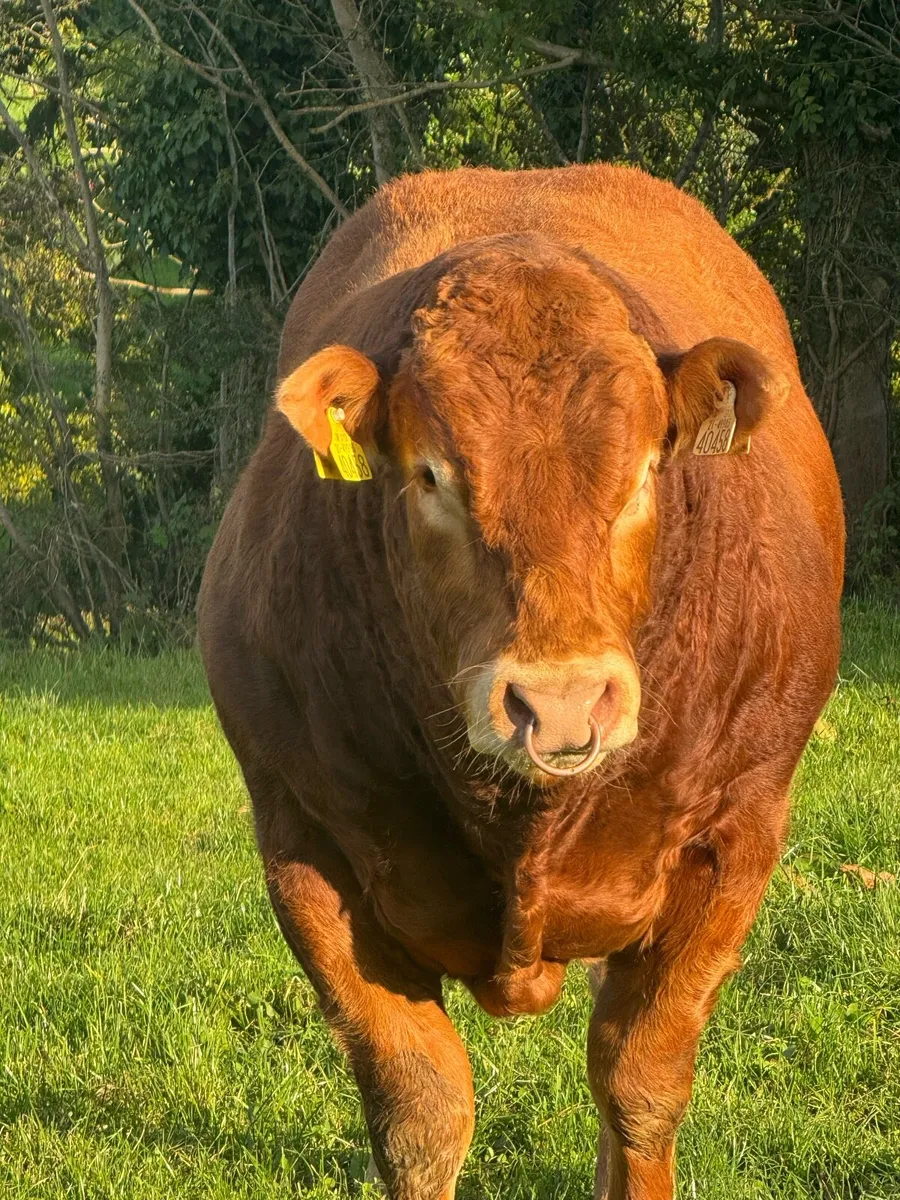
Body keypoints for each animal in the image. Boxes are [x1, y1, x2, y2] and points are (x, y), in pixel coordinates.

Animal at [198, 165, 844, 1200]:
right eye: (429, 476)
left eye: (645, 471)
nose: (563, 701)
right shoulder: (304, 843)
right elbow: (421, 1110)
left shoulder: (738, 835)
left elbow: (639, 1086)